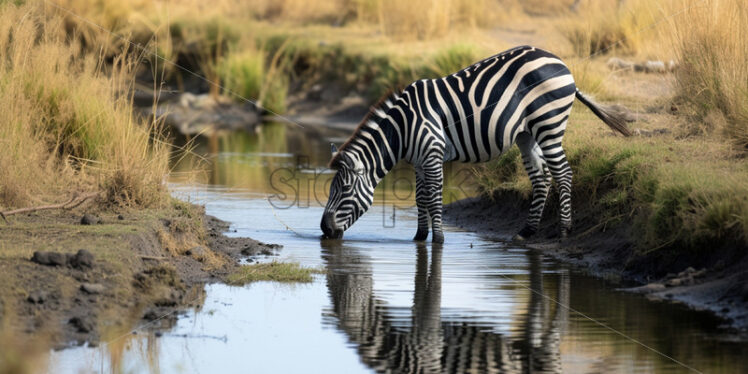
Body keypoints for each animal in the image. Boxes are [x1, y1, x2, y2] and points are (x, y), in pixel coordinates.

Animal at [322, 45, 632, 243]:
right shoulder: (419, 161)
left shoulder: (433, 153)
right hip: (526, 134)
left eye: (344, 190)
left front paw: (439, 240)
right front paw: (419, 237)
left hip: (549, 124)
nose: (324, 230)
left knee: (563, 173)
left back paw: (565, 230)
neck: (403, 127)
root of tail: (561, 63)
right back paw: (527, 231)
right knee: (542, 178)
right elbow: (420, 197)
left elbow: (434, 198)